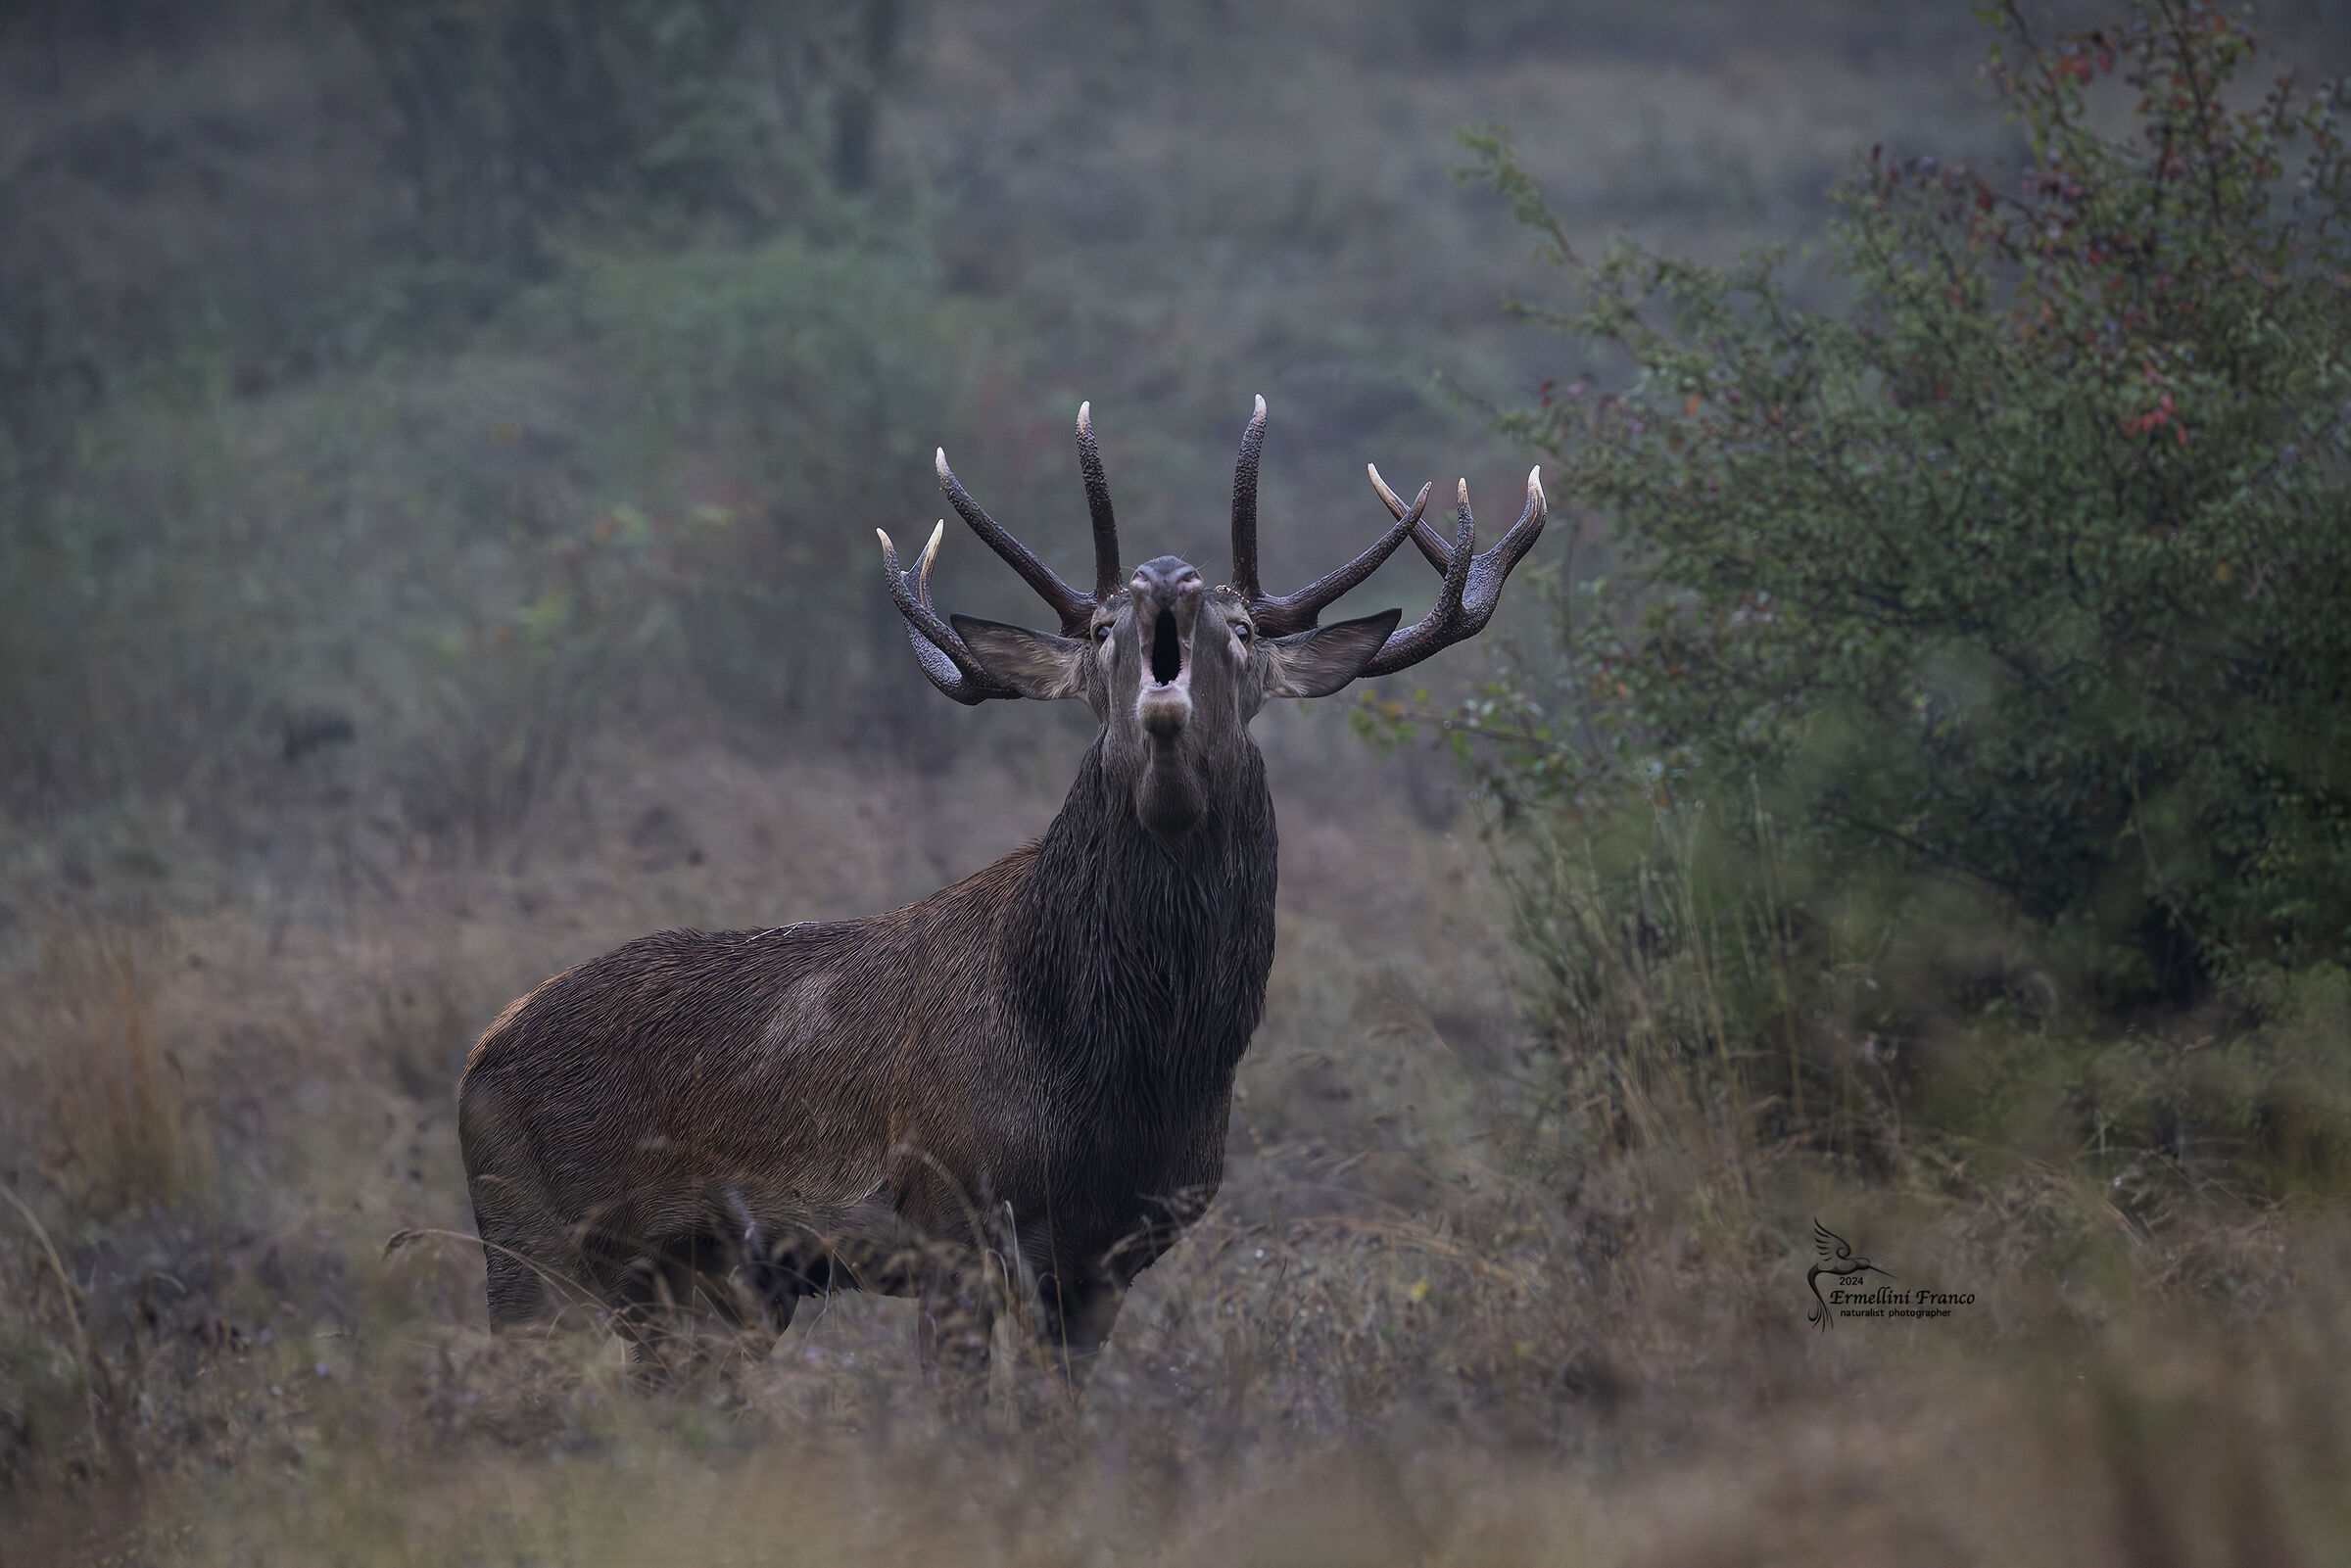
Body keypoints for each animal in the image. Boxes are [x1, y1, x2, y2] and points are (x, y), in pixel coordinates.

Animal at [457, 397, 1544, 1382]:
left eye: (1240, 624)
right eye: (1101, 625)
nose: (1165, 577)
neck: (1122, 1072)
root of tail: (479, 1053)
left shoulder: (1110, 1254)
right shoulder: (951, 1215)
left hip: (700, 1289)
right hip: (530, 1246)